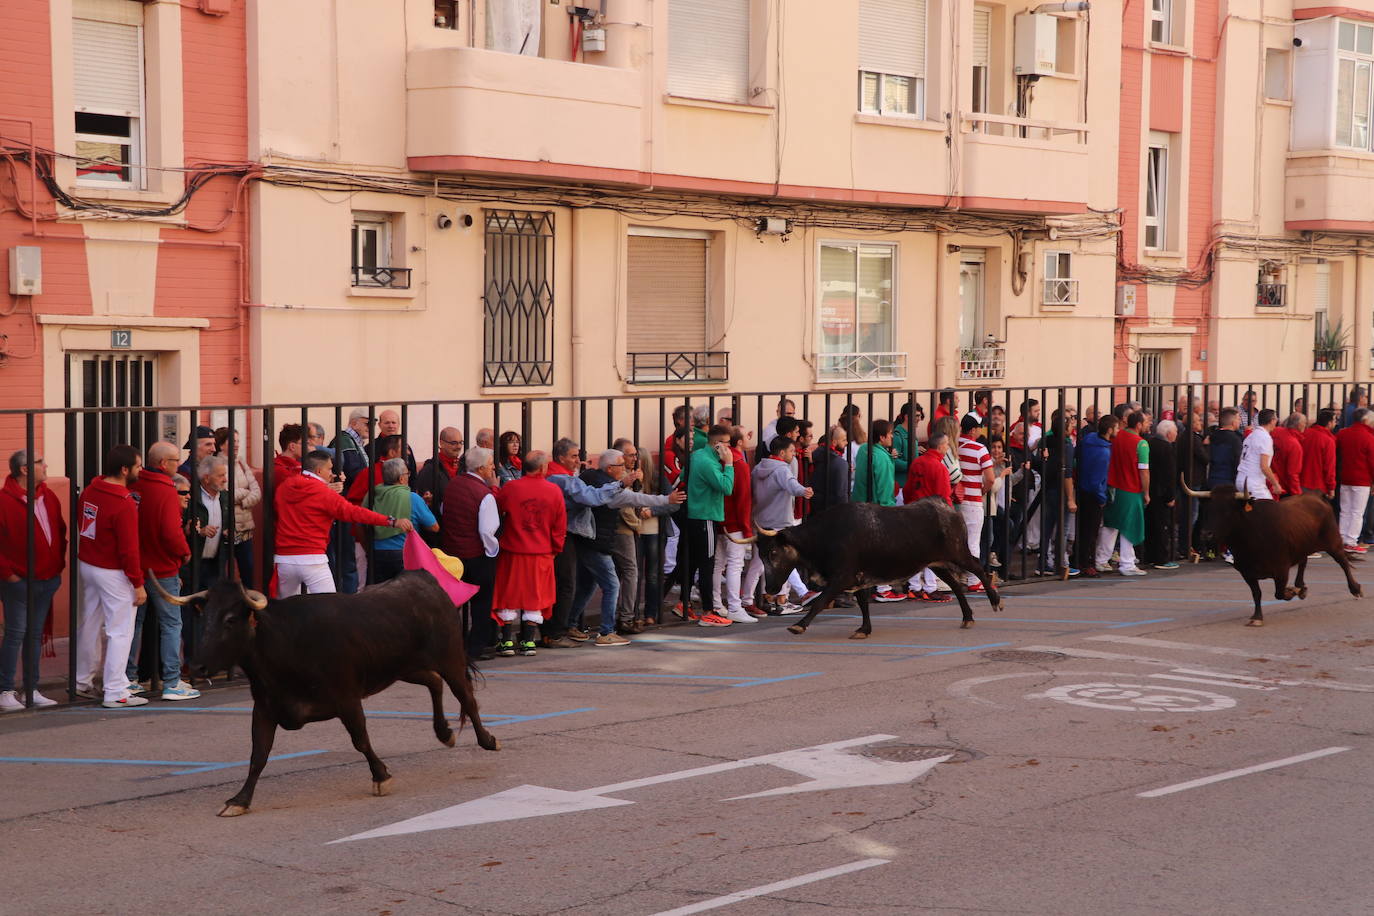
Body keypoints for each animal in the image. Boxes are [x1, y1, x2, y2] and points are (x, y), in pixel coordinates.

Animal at [153, 574, 497, 818]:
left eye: (229, 619)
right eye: (204, 618)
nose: (197, 665)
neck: (284, 643)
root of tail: (425, 581)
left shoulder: (347, 700)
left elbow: (361, 740)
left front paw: (381, 776)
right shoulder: (265, 708)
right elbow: (258, 755)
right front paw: (239, 800)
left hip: (449, 657)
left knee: (465, 695)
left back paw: (487, 740)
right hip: (405, 667)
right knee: (434, 683)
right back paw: (444, 733)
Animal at [747, 502, 1005, 637]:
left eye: (773, 552)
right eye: (761, 554)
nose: (771, 588)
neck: (824, 537)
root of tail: (950, 510)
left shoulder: (842, 577)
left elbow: (820, 601)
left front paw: (799, 625)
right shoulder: (859, 577)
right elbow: (863, 602)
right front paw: (864, 629)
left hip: (958, 554)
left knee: (978, 568)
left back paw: (995, 601)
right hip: (936, 563)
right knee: (955, 585)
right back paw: (967, 617)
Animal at [1181, 480, 1363, 623]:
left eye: (1227, 510)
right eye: (1208, 509)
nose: (1206, 534)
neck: (1251, 534)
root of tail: (1316, 496)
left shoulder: (1281, 570)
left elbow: (1279, 593)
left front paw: (1291, 591)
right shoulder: (1246, 572)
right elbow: (1257, 593)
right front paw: (1257, 617)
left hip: (1333, 542)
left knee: (1342, 562)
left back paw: (1355, 589)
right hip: (1303, 543)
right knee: (1304, 561)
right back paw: (1301, 587)